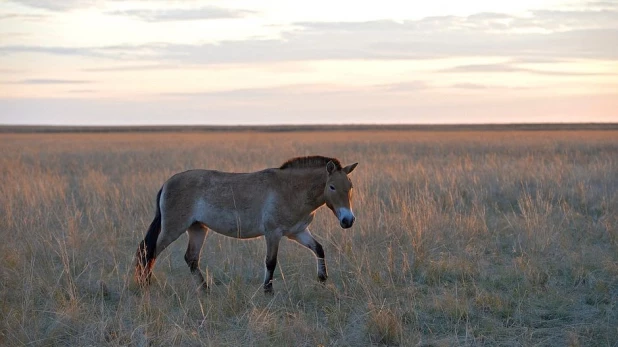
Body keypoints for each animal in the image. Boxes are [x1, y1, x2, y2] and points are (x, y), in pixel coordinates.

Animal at [135, 156, 356, 294]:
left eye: (350, 187)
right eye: (332, 187)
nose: (348, 220)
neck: (291, 189)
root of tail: (167, 183)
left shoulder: (298, 232)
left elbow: (319, 249)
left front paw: (322, 278)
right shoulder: (273, 233)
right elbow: (270, 262)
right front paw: (268, 290)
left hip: (197, 228)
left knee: (191, 258)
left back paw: (205, 290)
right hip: (173, 229)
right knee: (149, 252)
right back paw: (145, 285)